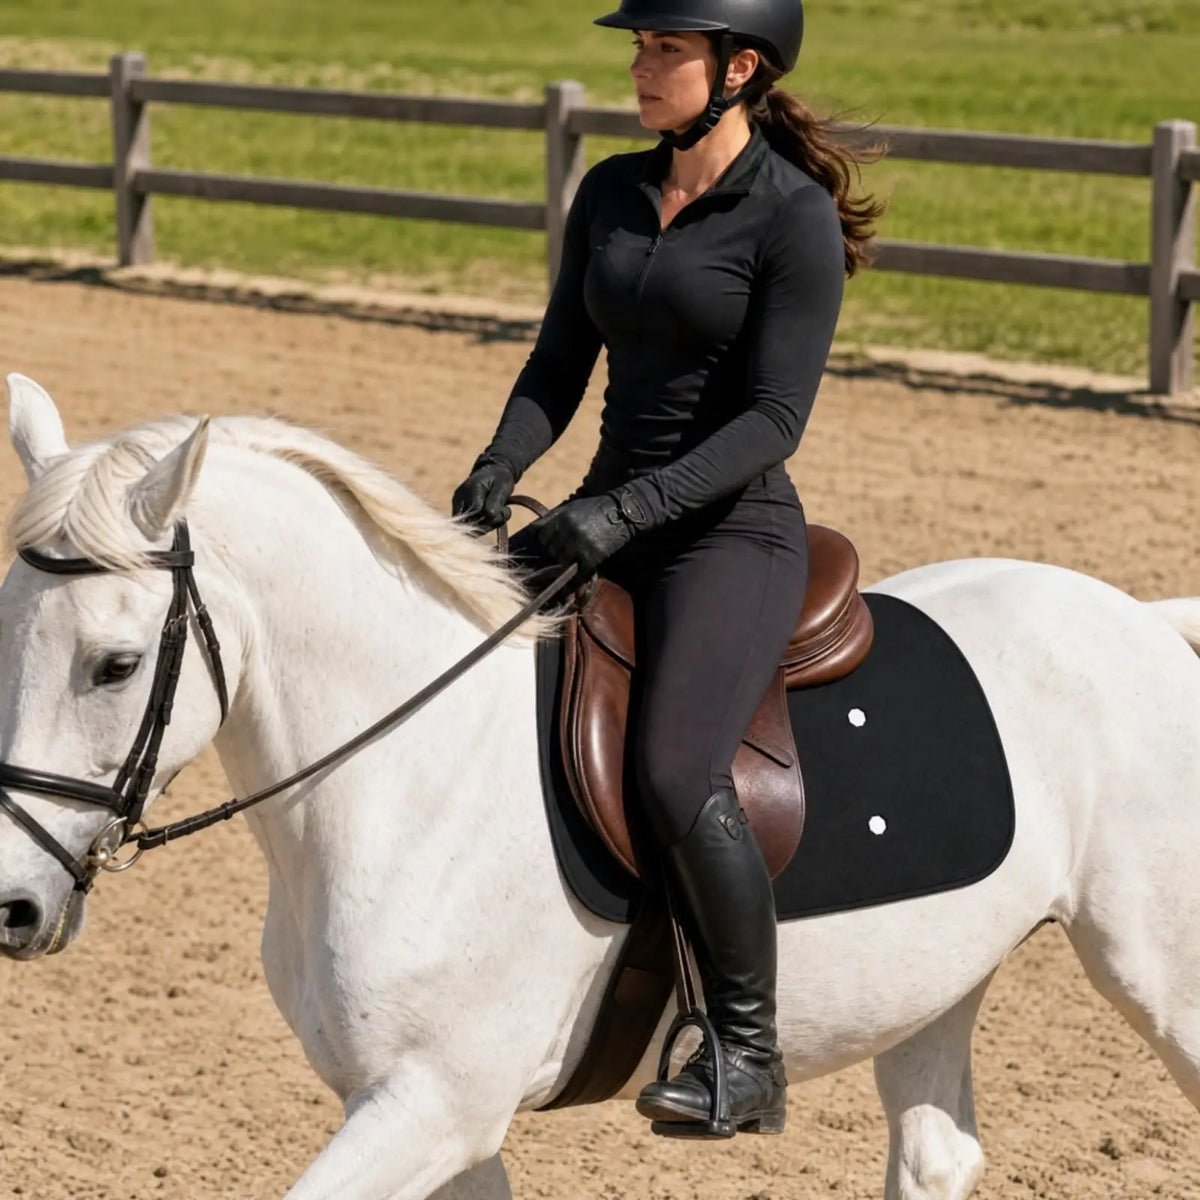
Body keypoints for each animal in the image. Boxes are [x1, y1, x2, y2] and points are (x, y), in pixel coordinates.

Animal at [1, 372, 1199, 1200]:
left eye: (114, 664)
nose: (12, 906)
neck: (410, 783)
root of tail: (1140, 619)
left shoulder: (434, 1104)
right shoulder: (431, 1115)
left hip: (1157, 972)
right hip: (935, 984)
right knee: (936, 1157)